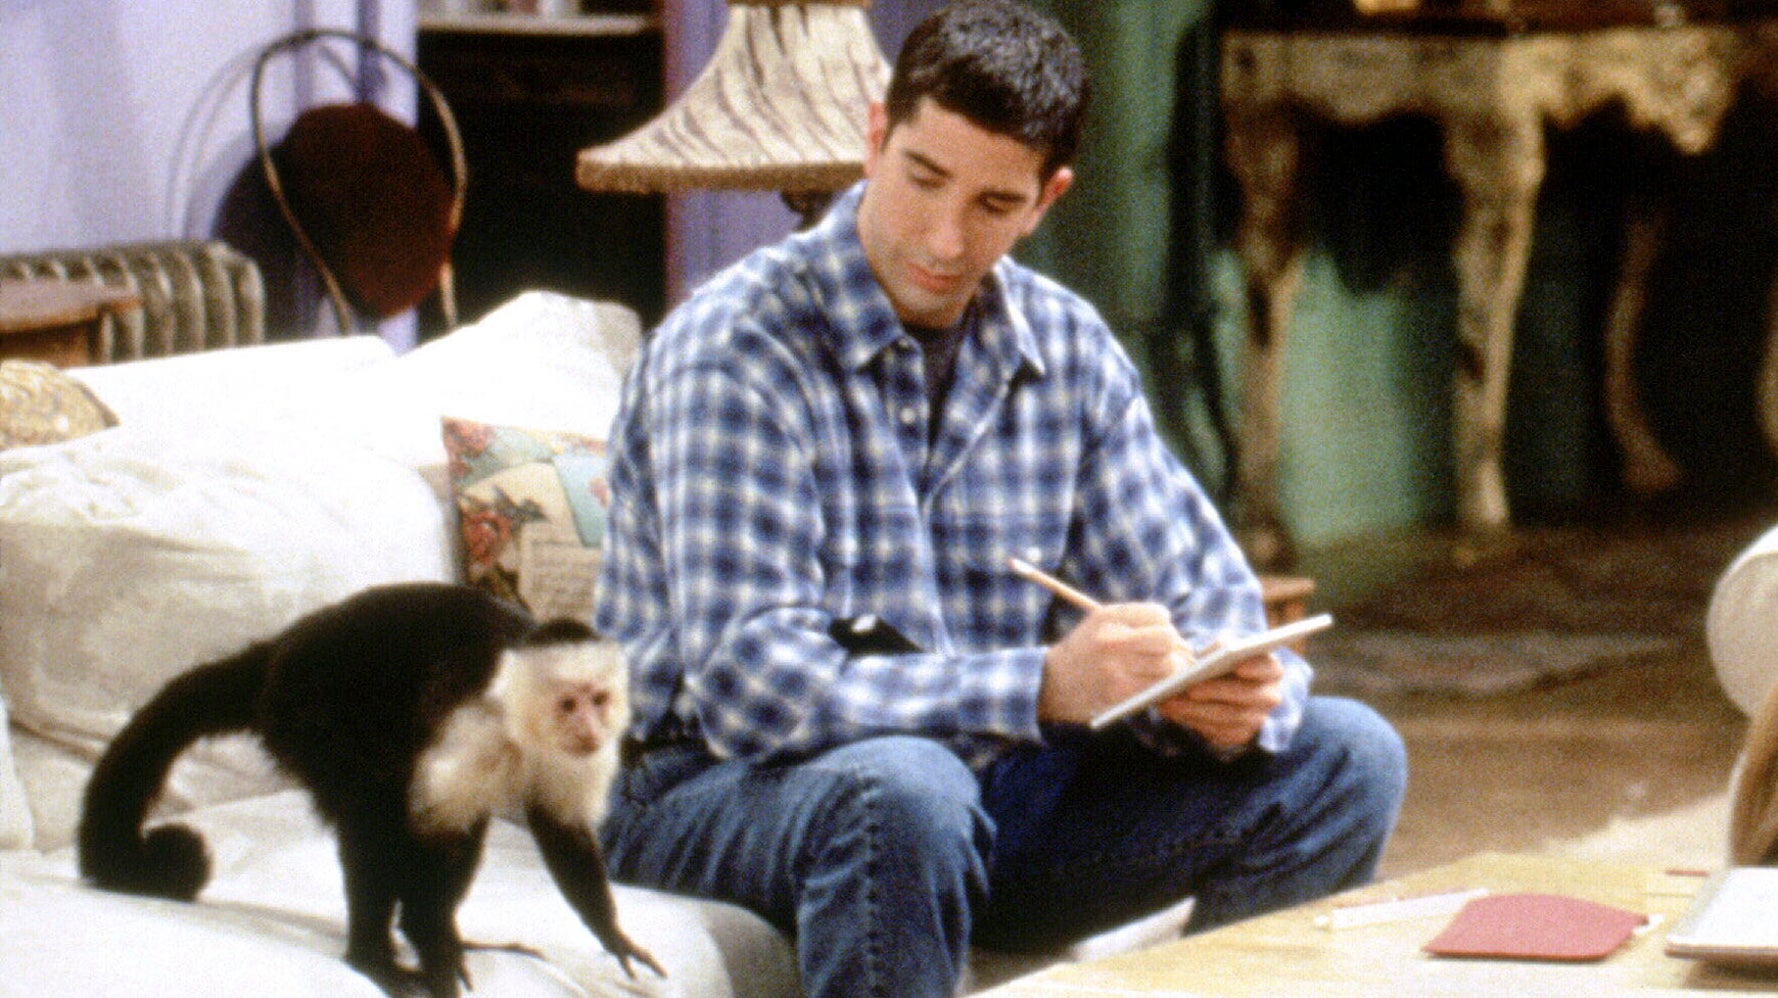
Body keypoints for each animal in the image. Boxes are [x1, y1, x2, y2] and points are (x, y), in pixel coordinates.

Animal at [77, 581, 662, 998]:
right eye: (568, 703)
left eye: (598, 699)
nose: (589, 726)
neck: (521, 724)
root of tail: (279, 650)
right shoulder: (476, 728)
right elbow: (433, 828)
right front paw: (431, 945)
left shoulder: (574, 758)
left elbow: (562, 831)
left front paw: (612, 934)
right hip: (309, 711)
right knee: (376, 811)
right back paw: (373, 956)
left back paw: (447, 939)